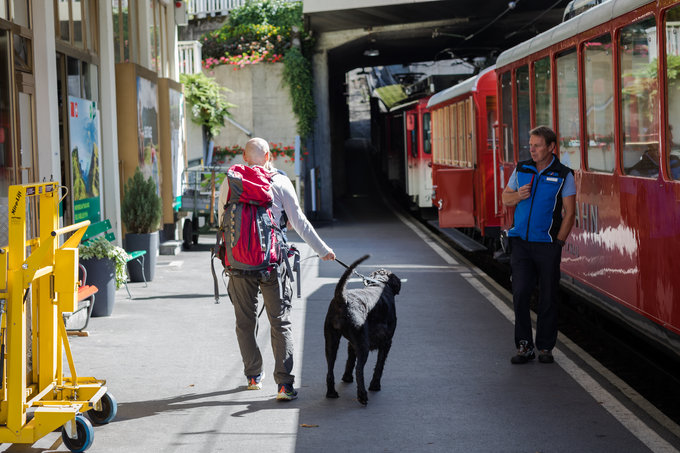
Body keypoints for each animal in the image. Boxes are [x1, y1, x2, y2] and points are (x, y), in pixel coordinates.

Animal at [322, 252, 398, 404]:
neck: (379, 283)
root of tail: (342, 299)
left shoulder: (352, 343)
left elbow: (350, 360)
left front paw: (346, 377)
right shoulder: (387, 342)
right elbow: (379, 364)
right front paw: (375, 385)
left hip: (331, 340)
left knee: (330, 368)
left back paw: (331, 392)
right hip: (363, 345)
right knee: (359, 369)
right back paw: (362, 395)